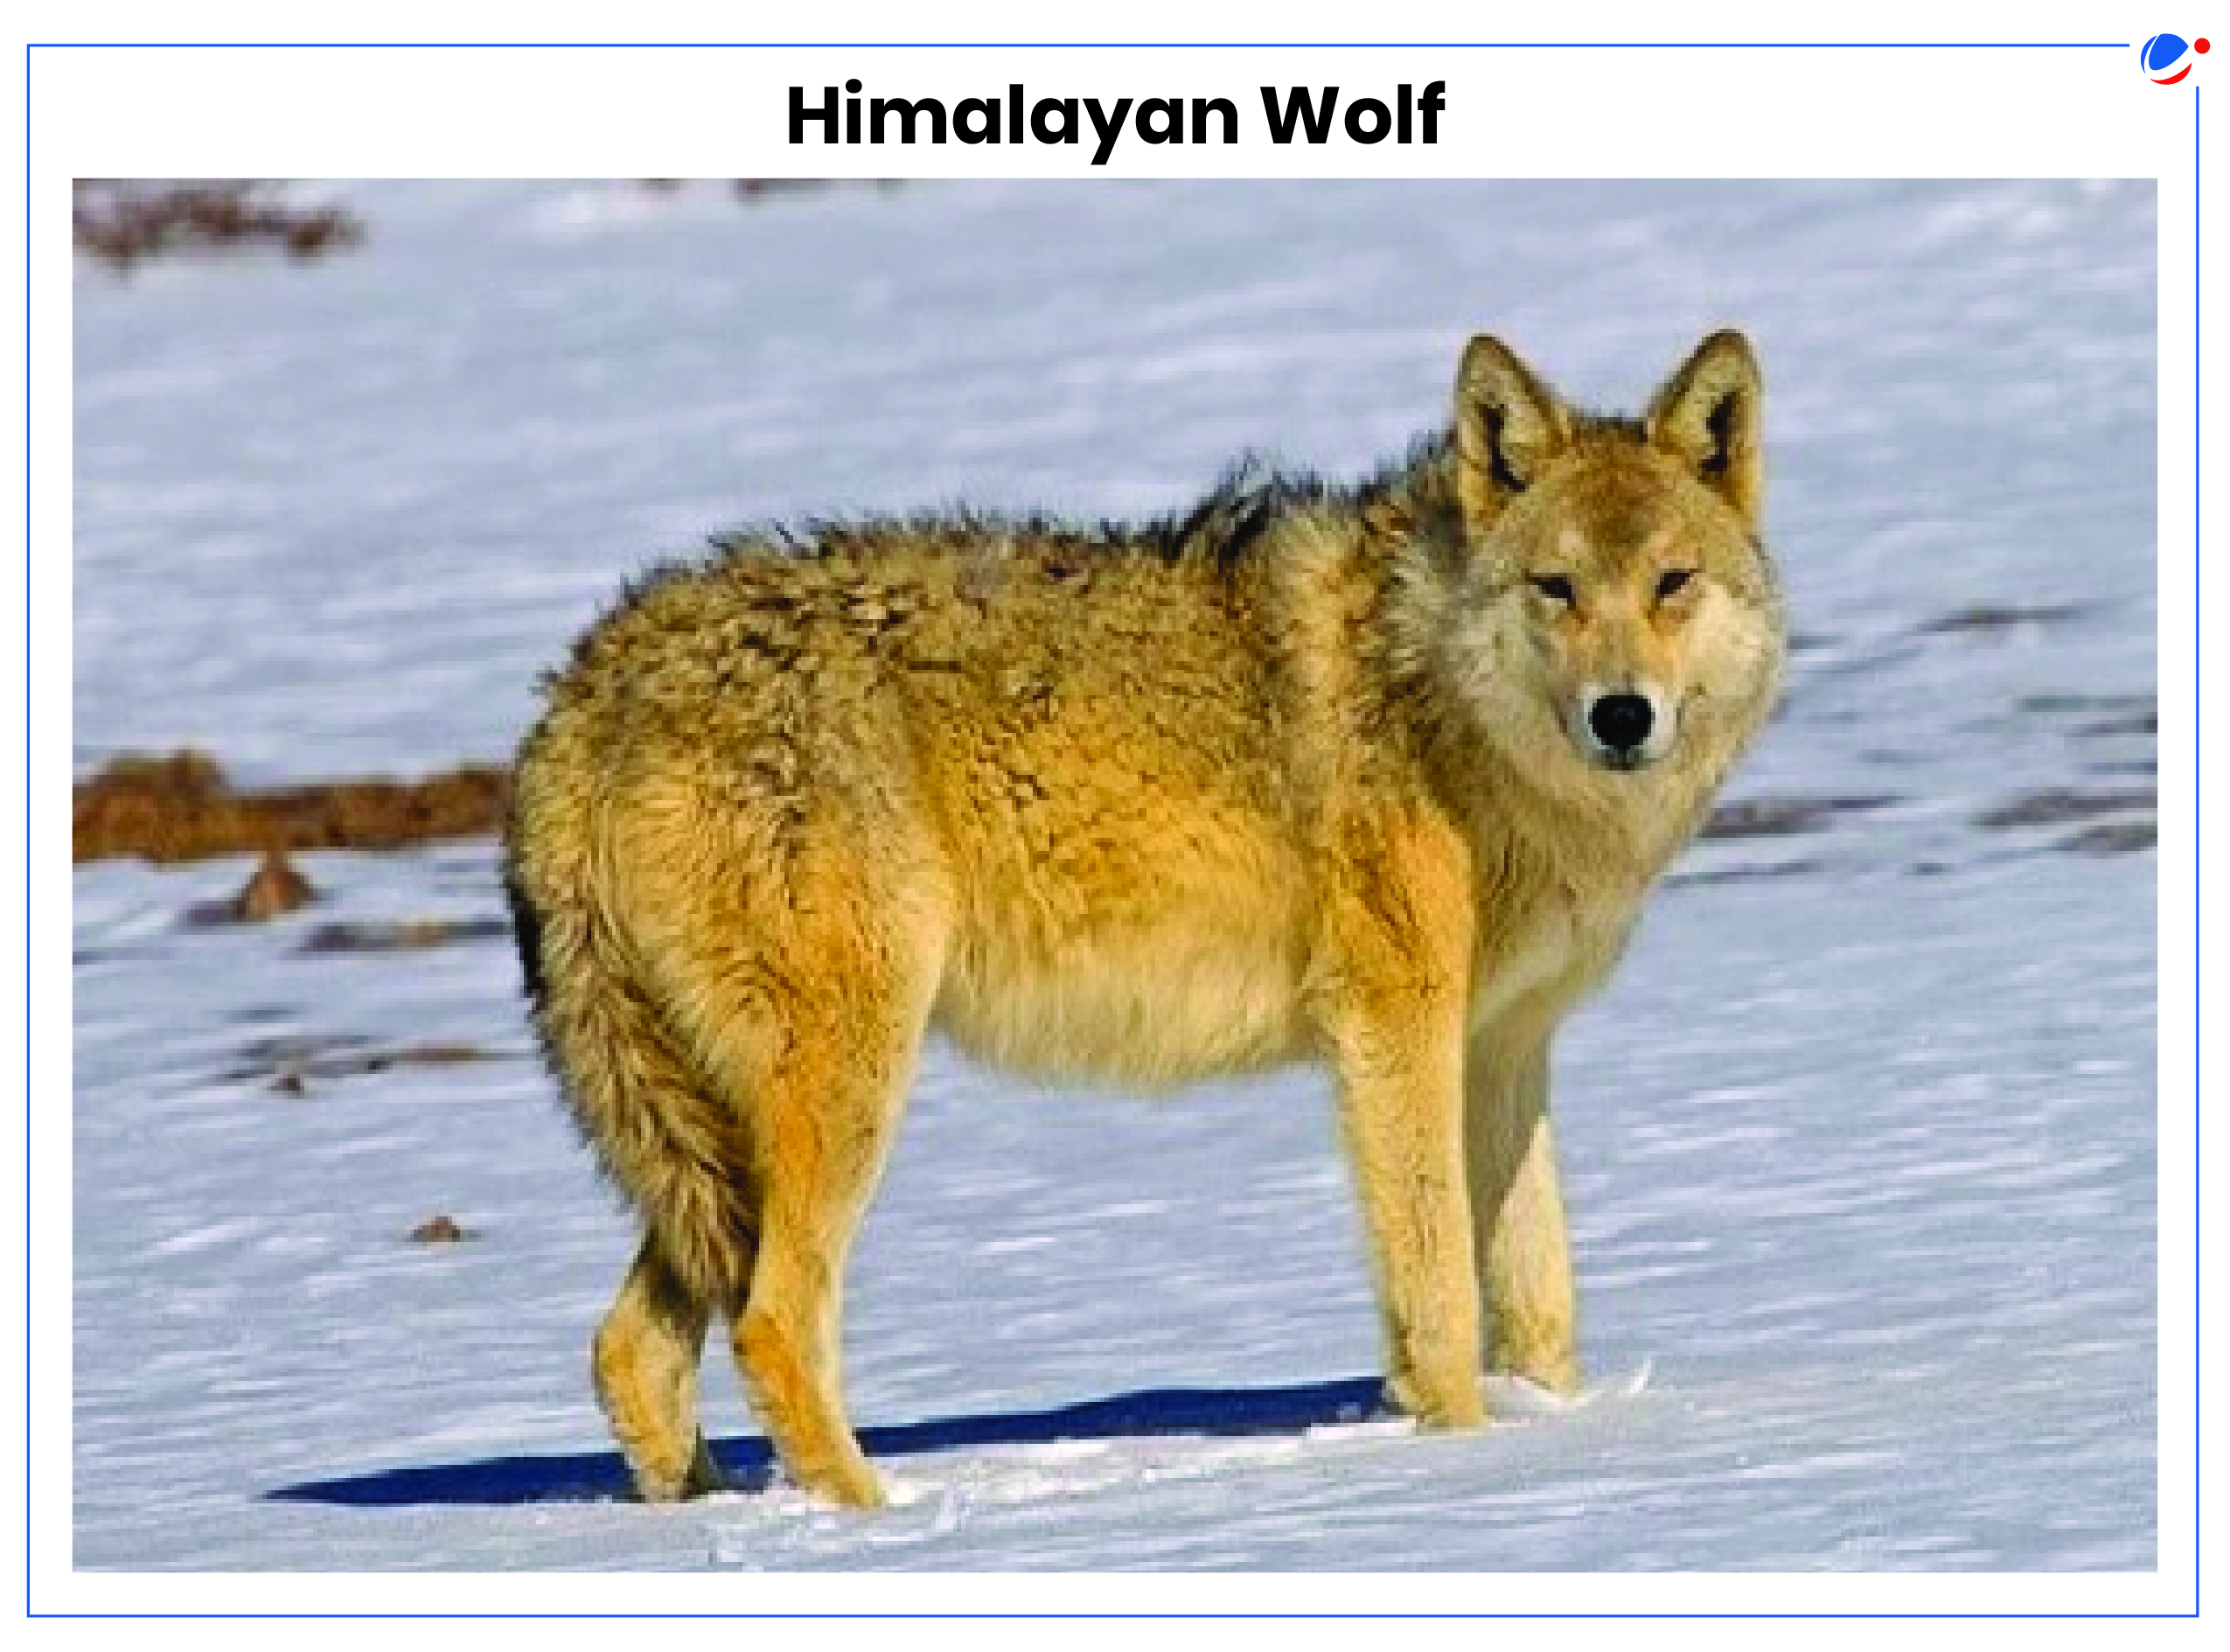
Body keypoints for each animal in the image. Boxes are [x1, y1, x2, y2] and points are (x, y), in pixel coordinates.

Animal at [510, 327, 1793, 1498]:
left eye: (1670, 583)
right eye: (1556, 588)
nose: (1621, 716)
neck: (1442, 701)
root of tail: (580, 688)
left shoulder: (1504, 1046)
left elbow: (1540, 1302)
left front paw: (1562, 1443)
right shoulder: (1392, 1028)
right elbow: (1435, 1297)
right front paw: (1466, 1466)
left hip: (712, 1144)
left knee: (630, 1346)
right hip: (844, 1084)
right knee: (772, 1320)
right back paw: (880, 1522)